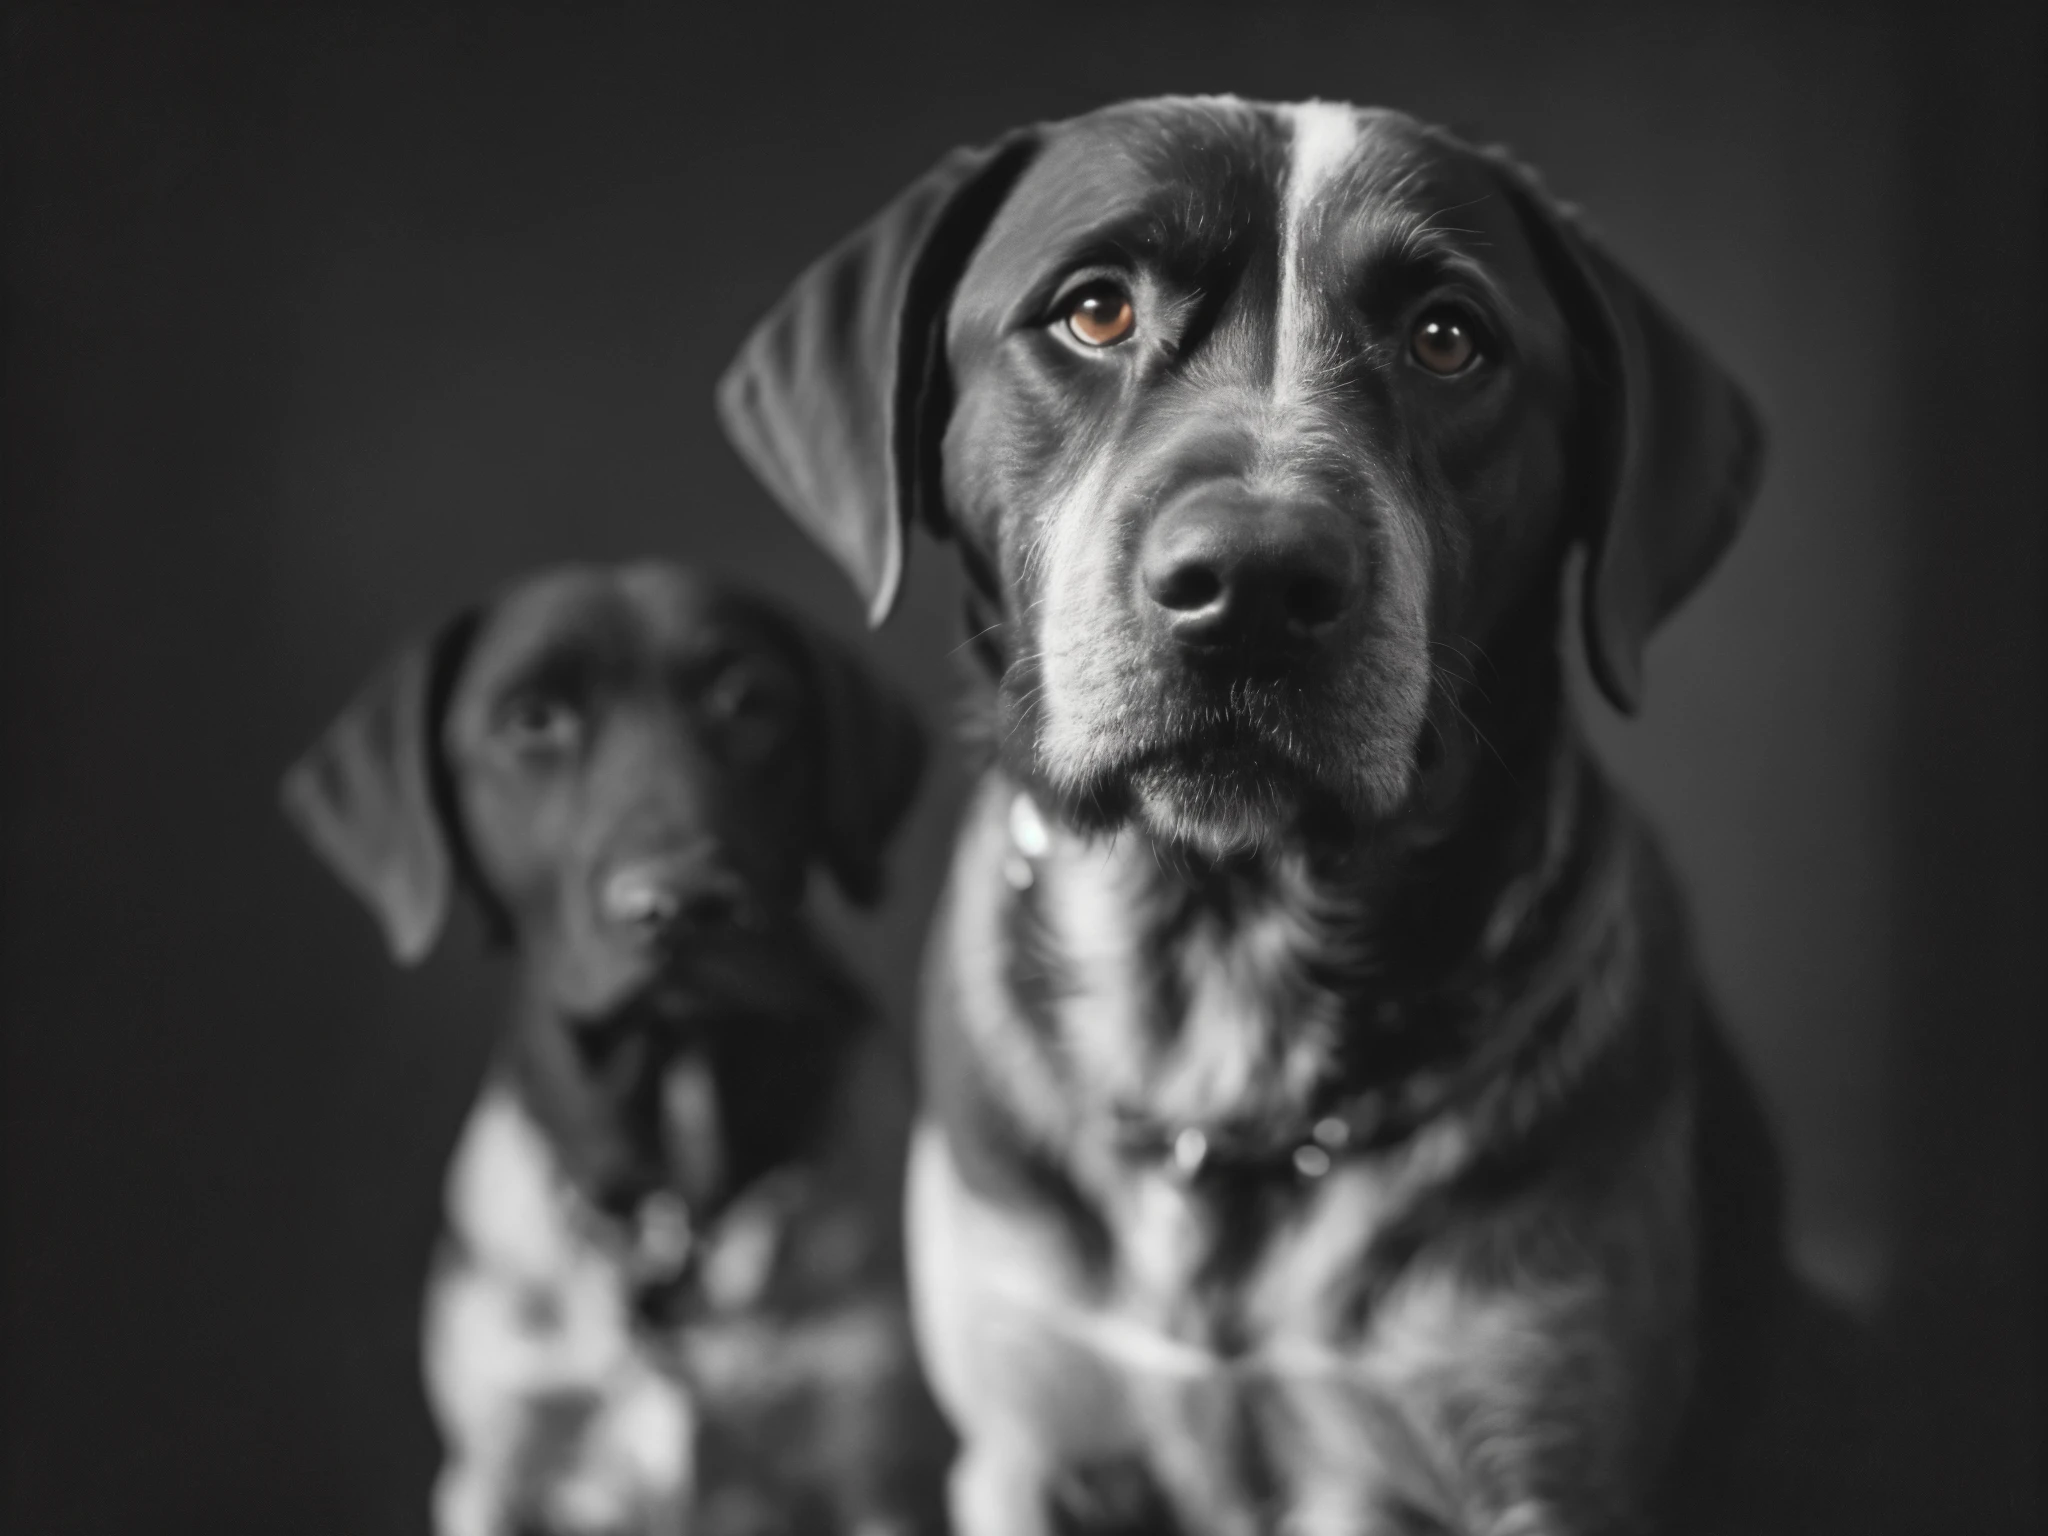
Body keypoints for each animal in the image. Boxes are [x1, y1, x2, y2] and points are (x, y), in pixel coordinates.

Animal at [716, 99, 1875, 1536]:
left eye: (1447, 336)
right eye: (1093, 309)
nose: (1252, 583)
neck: (1224, 967)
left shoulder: (1547, 1450)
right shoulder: (1025, 1440)